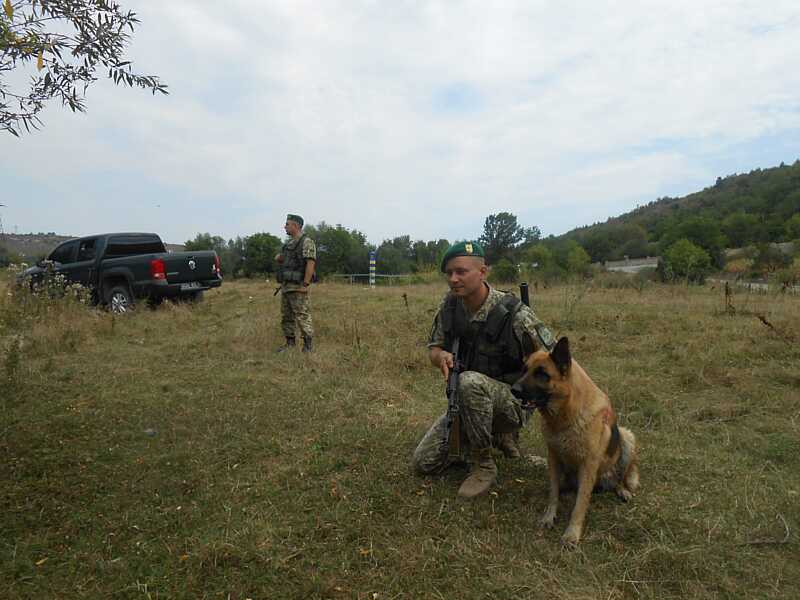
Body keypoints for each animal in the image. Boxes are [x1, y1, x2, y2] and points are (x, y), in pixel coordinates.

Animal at [512, 336, 636, 548]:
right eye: (524, 369)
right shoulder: (553, 456)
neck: (565, 417)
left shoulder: (588, 465)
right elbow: (553, 492)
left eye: (542, 374)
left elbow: (579, 505)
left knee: (619, 477)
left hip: (627, 437)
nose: (513, 390)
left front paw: (572, 534)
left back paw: (622, 490)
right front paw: (549, 516)